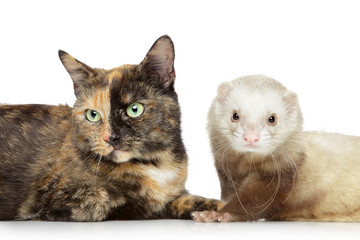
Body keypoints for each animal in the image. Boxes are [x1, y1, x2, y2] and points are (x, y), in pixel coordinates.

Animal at [0, 35, 222, 221]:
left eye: (135, 109)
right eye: (93, 115)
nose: (110, 138)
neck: (154, 163)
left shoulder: (174, 193)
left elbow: (188, 199)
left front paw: (217, 209)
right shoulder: (59, 199)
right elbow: (113, 199)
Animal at [194, 76, 360, 222]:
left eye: (272, 118)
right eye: (235, 115)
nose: (251, 137)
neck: (240, 172)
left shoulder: (275, 181)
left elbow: (253, 203)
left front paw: (216, 214)